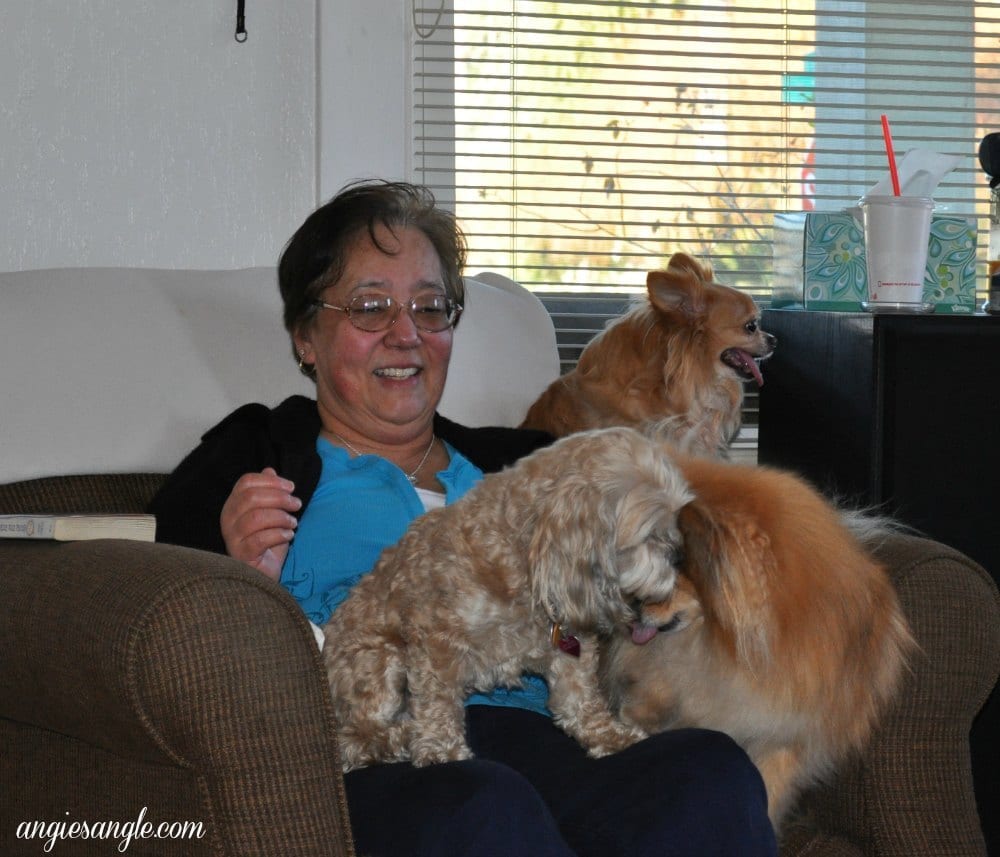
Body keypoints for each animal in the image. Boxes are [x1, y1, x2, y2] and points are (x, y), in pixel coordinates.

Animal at [324, 426, 692, 768]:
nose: (678, 557)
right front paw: (441, 750)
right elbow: (437, 701)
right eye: (650, 534)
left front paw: (607, 735)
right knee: (357, 738)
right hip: (379, 661)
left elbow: (579, 696)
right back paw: (401, 736)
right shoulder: (437, 641)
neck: (522, 556)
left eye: (675, 521)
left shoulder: (569, 642)